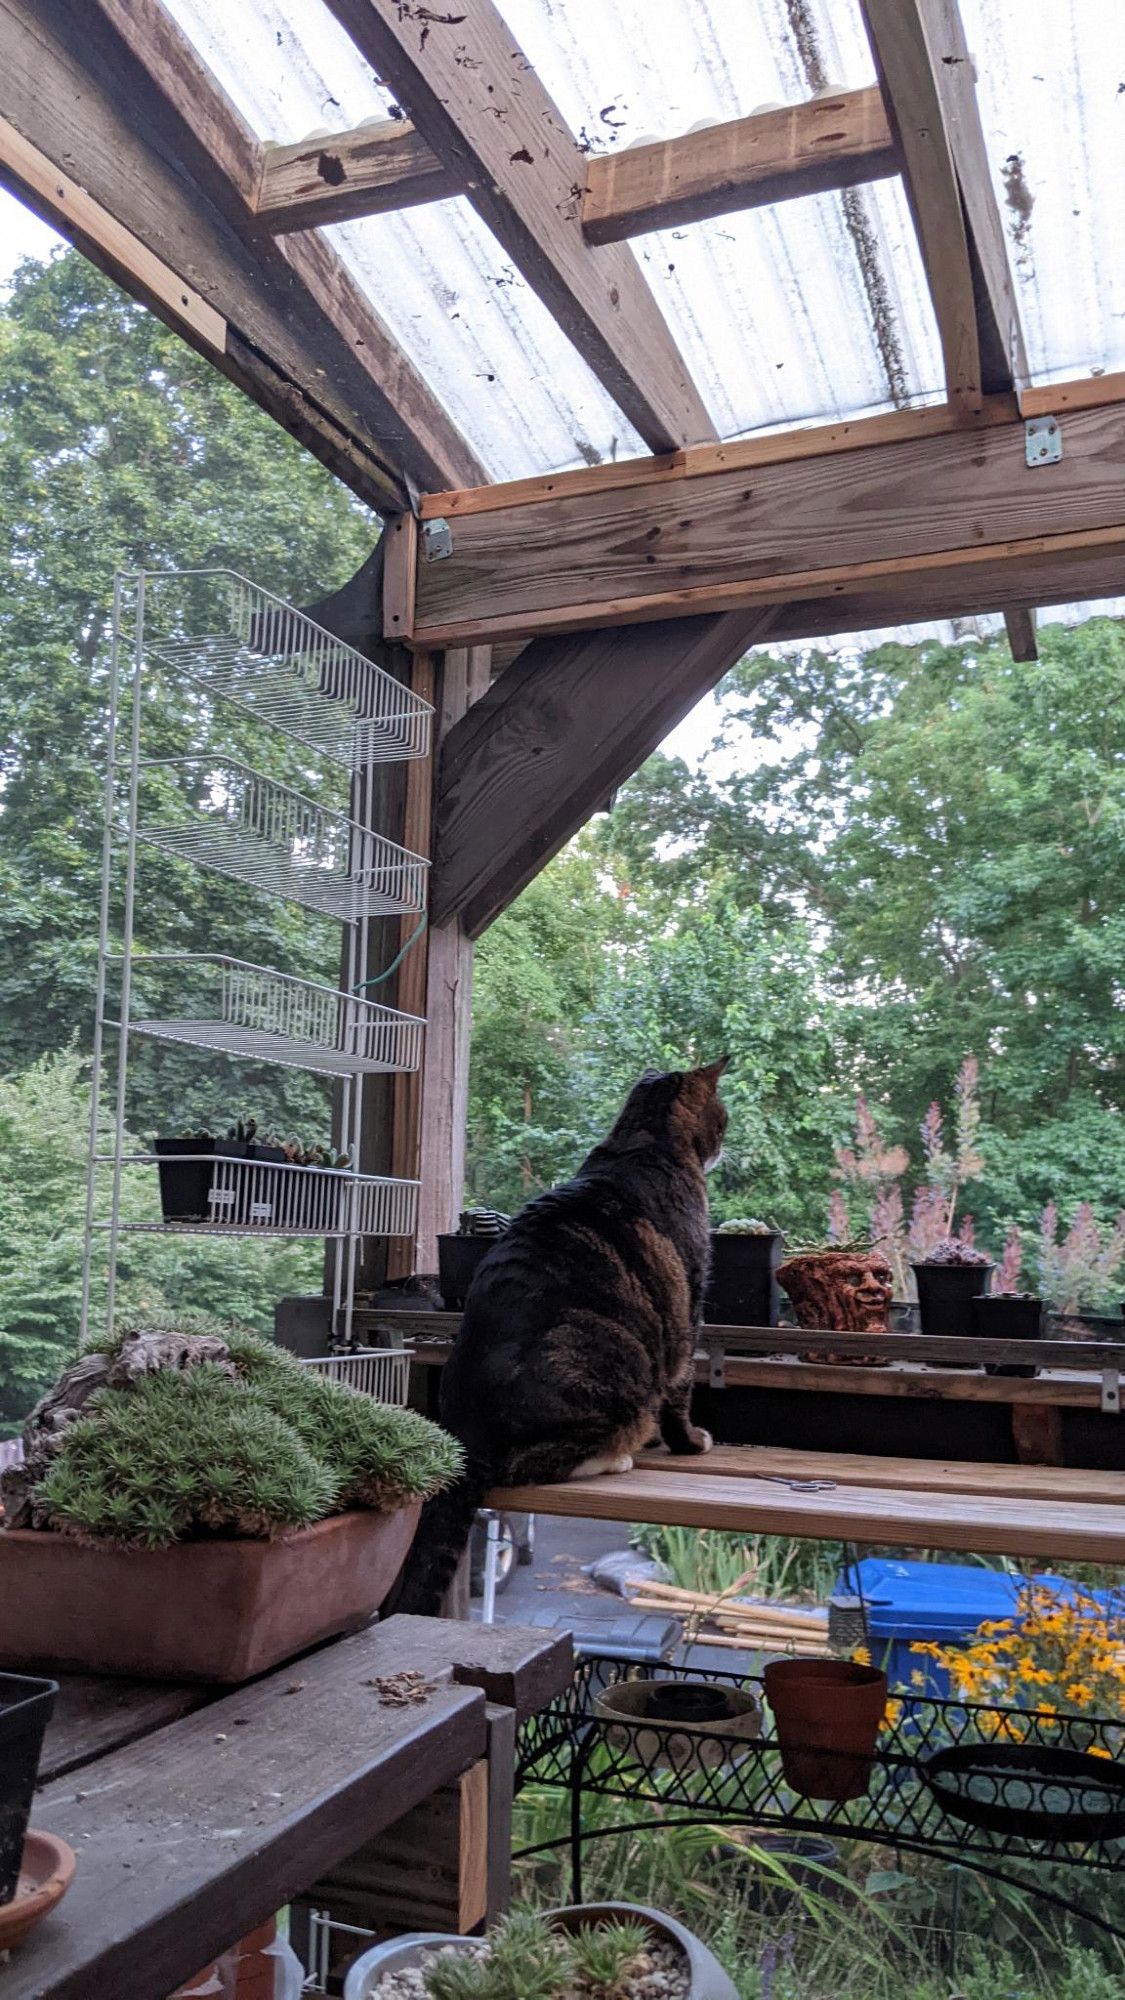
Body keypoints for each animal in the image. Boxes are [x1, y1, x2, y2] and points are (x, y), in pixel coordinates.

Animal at [394, 1064, 728, 1608]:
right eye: (723, 1115)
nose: (725, 1142)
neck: (642, 1140)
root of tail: (467, 1431)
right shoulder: (689, 1305)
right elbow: (681, 1391)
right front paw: (689, 1442)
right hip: (612, 1363)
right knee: (531, 1465)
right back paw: (617, 1458)